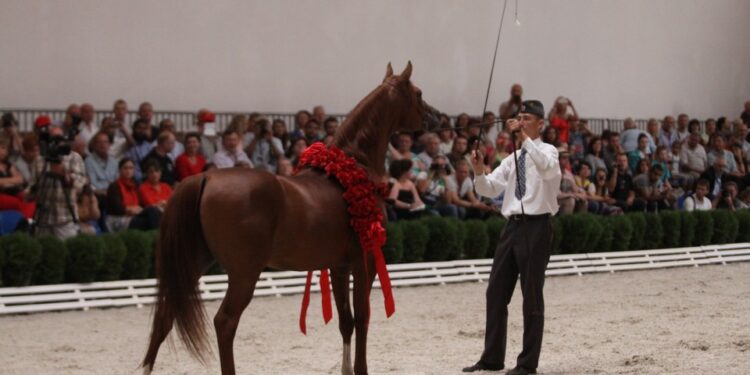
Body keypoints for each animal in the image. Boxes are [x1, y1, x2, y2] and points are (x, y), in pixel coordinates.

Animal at [142, 63, 440, 375]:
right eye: (418, 93)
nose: (437, 118)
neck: (351, 168)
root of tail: (206, 177)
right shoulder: (365, 262)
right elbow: (362, 318)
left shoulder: (339, 266)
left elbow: (346, 321)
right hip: (244, 274)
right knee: (225, 322)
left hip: (195, 262)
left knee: (165, 317)